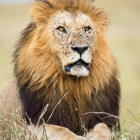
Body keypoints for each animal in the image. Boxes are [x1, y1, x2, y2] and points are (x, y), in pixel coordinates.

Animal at [0, 0, 120, 139]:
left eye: (87, 29)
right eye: (61, 29)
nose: (81, 48)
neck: (75, 85)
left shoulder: (106, 119)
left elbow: (102, 127)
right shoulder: (33, 124)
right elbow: (61, 130)